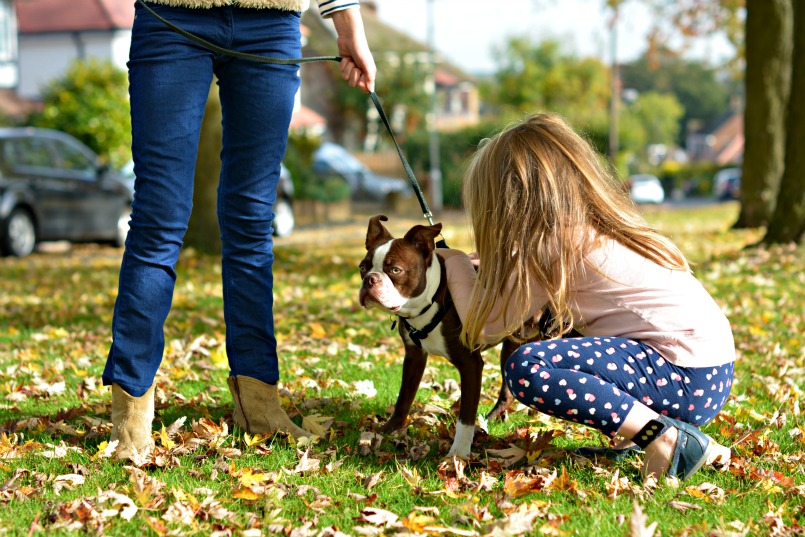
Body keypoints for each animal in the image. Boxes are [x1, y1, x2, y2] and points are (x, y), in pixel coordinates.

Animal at [358, 214, 532, 456]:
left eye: (395, 270)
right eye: (362, 268)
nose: (370, 279)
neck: (430, 301)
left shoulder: (470, 364)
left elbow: (465, 416)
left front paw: (458, 454)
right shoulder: (414, 356)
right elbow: (404, 397)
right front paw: (388, 430)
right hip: (512, 345)